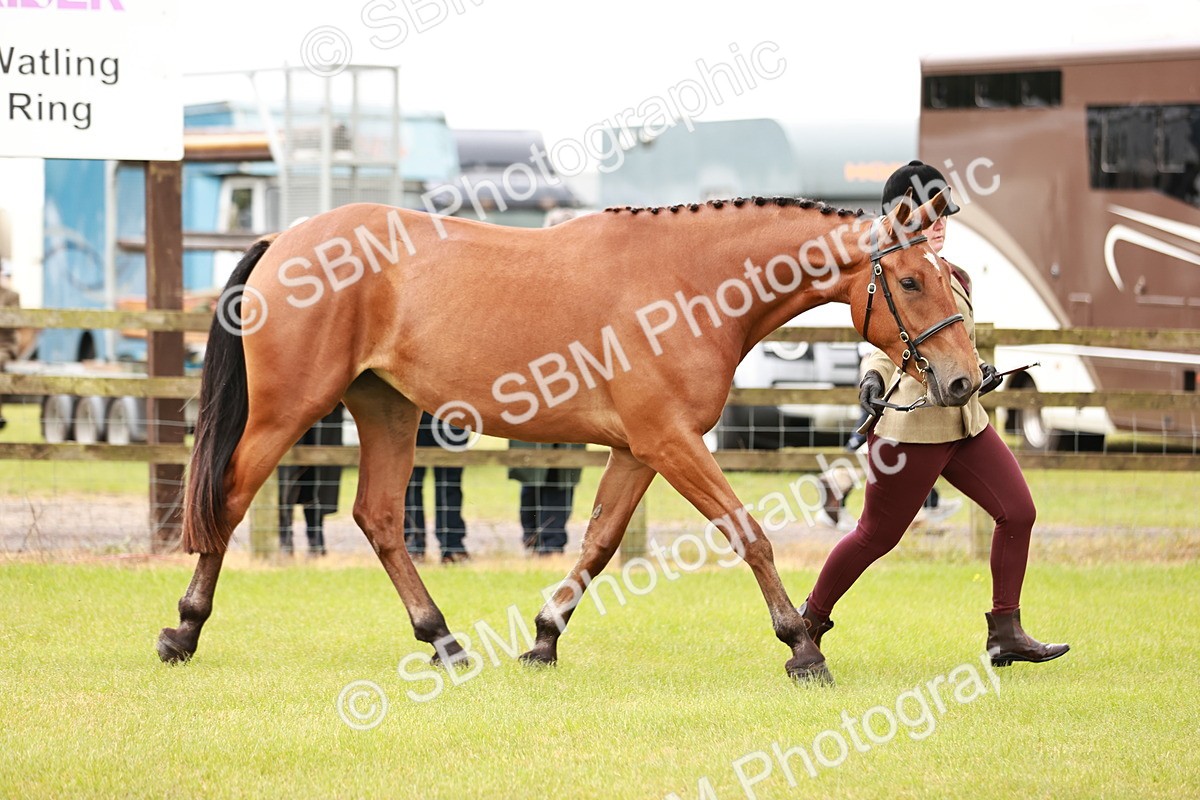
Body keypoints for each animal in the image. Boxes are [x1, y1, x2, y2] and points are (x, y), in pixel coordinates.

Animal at [157, 190, 978, 684]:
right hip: (288, 410)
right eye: (911, 281)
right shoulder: (671, 443)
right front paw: (802, 647)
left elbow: (600, 542)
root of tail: (286, 238)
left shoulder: (639, 450)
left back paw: (444, 641)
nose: (965, 382)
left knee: (380, 518)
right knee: (230, 500)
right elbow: (748, 533)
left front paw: (544, 639)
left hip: (387, 409)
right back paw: (183, 633)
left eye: (954, 278)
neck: (688, 284)